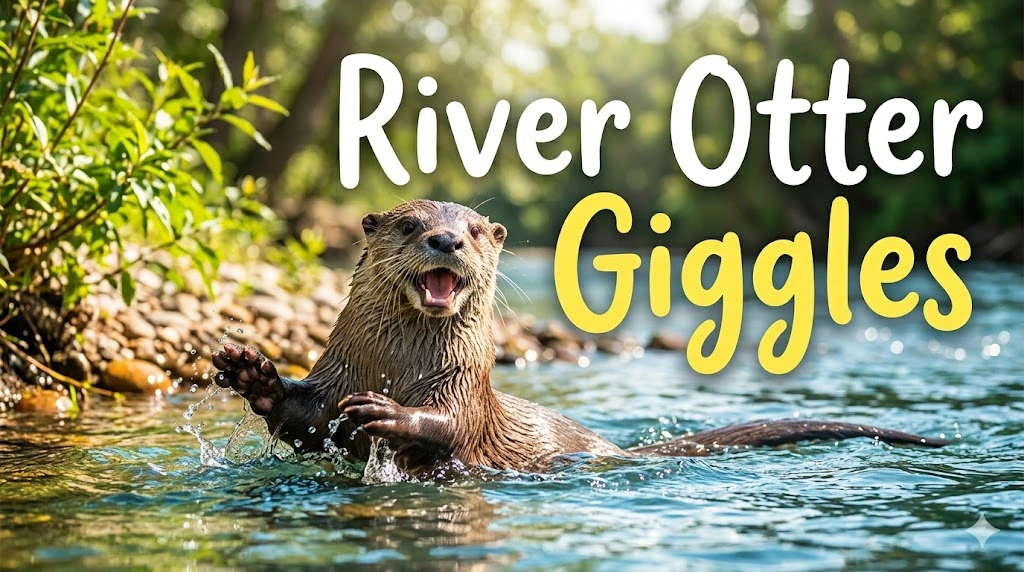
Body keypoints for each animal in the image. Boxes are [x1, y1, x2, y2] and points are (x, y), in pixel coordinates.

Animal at [212, 200, 947, 475]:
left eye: (473, 229)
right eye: (411, 224)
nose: (446, 239)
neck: (392, 365)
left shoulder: (463, 389)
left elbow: (451, 425)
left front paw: (386, 413)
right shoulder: (331, 375)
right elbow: (301, 418)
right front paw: (250, 371)